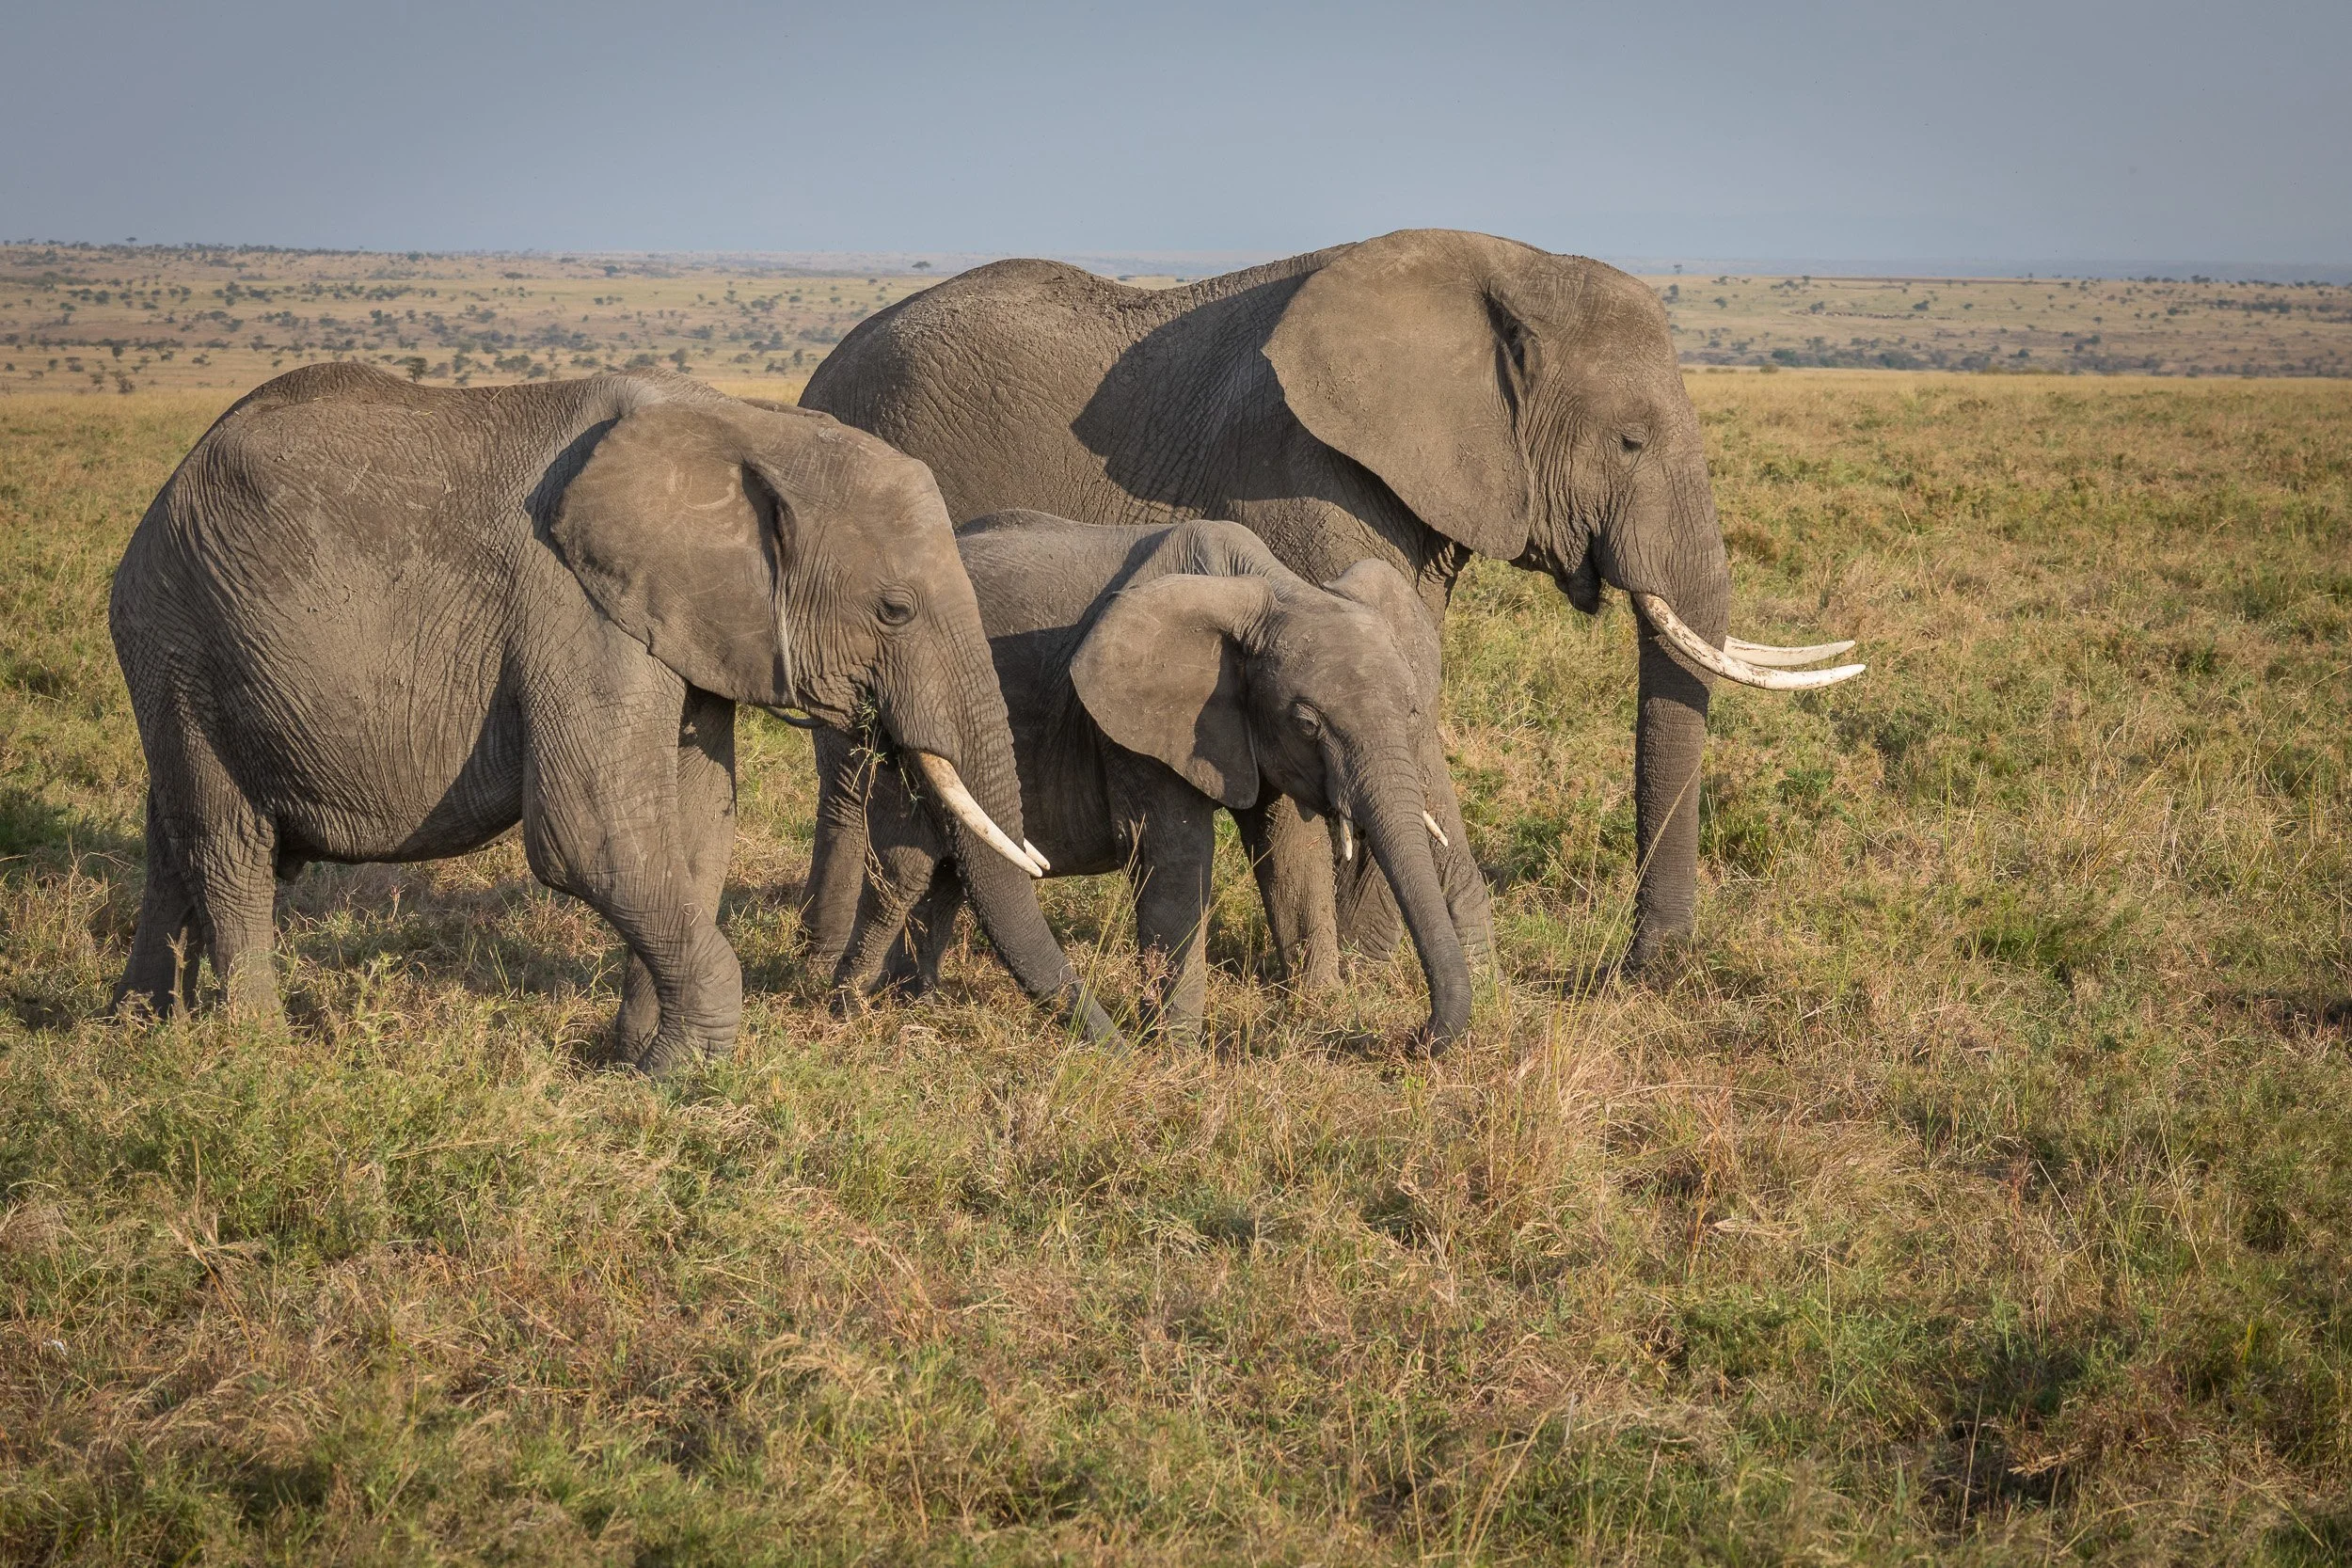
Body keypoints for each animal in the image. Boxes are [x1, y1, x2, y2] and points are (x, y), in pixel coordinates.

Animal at [108, 363, 1114, 1073]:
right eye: (895, 609)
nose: (1119, 1039)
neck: (744, 424)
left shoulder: (681, 619)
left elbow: (694, 827)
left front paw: (636, 1056)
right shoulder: (571, 605)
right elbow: (590, 834)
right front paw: (681, 1072)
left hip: (181, 653)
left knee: (174, 837)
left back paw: (136, 1032)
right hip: (183, 636)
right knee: (229, 845)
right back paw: (259, 1059)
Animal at [801, 228, 1862, 980]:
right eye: (1632, 441)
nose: (1645, 970)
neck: (1505, 268)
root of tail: (819, 371)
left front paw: (1389, 967)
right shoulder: (1303, 479)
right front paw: (1399, 968)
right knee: (852, 760)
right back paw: (825, 965)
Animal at [821, 510, 1486, 1047]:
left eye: (1412, 711)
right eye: (1307, 722)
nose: (1412, 1037)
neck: (1268, 588)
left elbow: (1290, 855)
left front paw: (1319, 1012)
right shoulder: (1131, 722)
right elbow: (1174, 855)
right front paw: (1177, 1055)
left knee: (947, 870)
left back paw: (916, 1003)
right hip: (893, 722)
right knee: (908, 863)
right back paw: (855, 1011)